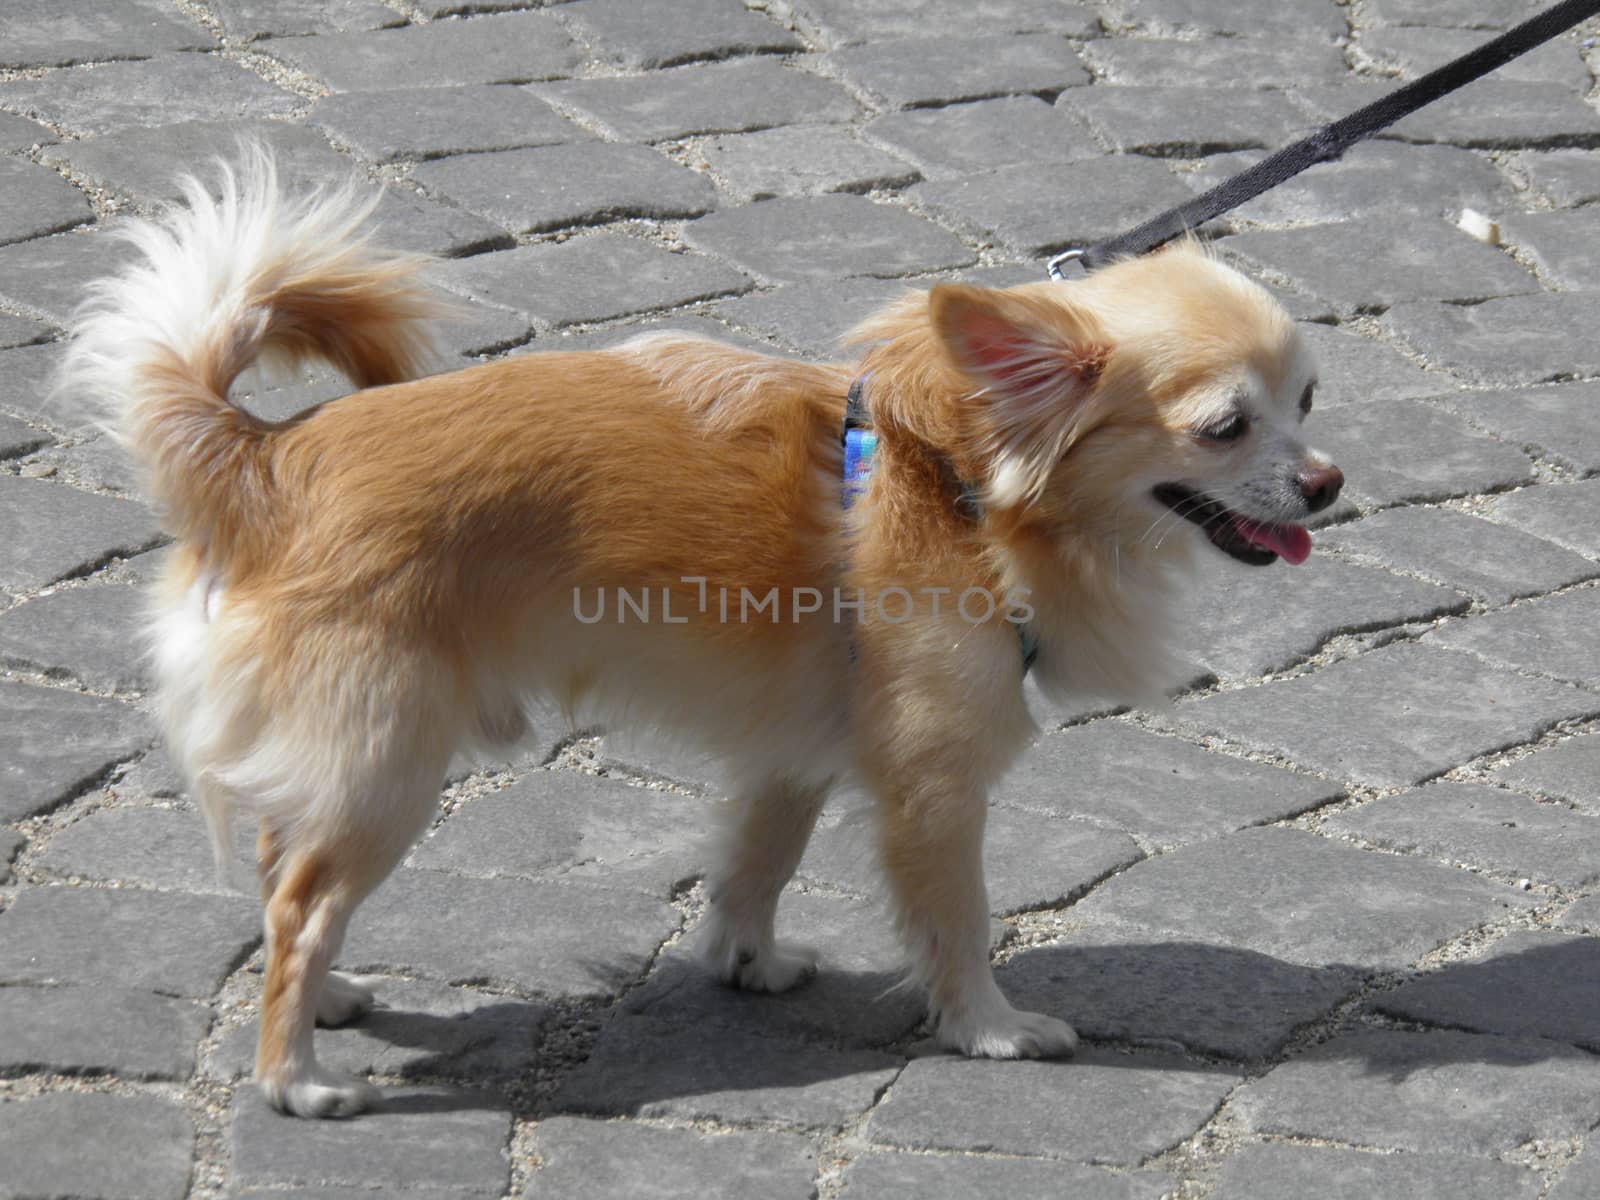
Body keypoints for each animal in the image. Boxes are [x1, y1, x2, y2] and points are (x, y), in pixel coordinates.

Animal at [65, 157, 1337, 1120]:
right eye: (1225, 429)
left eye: (1310, 401)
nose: (1328, 484)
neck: (961, 484)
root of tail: (267, 461)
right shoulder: (935, 788)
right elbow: (957, 921)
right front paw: (989, 1028)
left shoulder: (794, 750)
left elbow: (754, 864)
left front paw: (746, 963)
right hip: (390, 765)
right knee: (299, 905)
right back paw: (296, 1077)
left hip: (349, 761)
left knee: (284, 864)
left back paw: (328, 999)